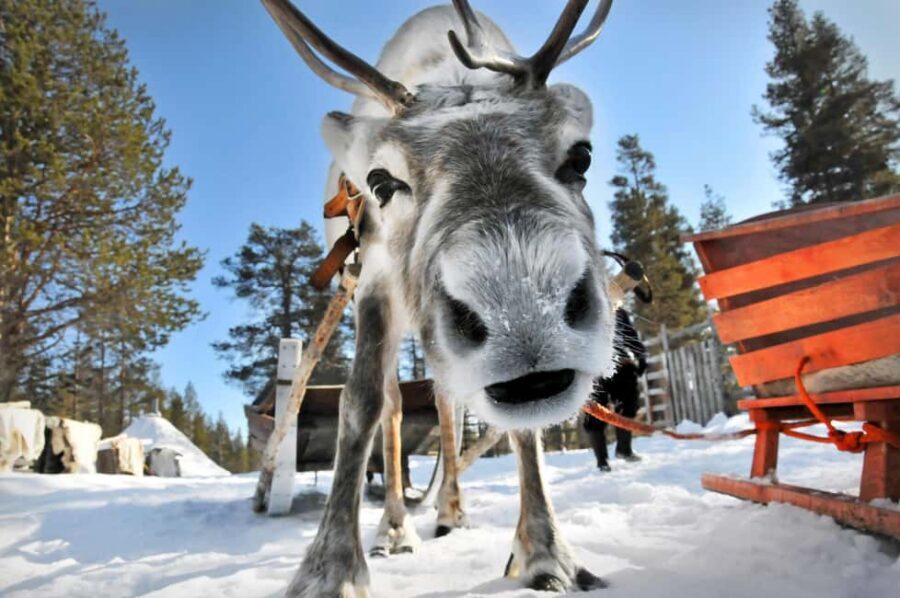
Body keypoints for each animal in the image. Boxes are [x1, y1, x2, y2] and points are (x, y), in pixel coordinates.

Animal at [260, 0, 617, 595]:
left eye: (581, 157)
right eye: (381, 181)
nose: (524, 317)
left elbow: (523, 432)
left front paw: (547, 554)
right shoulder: (374, 279)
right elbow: (360, 403)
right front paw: (329, 569)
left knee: (448, 405)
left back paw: (450, 509)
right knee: (395, 406)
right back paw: (394, 528)